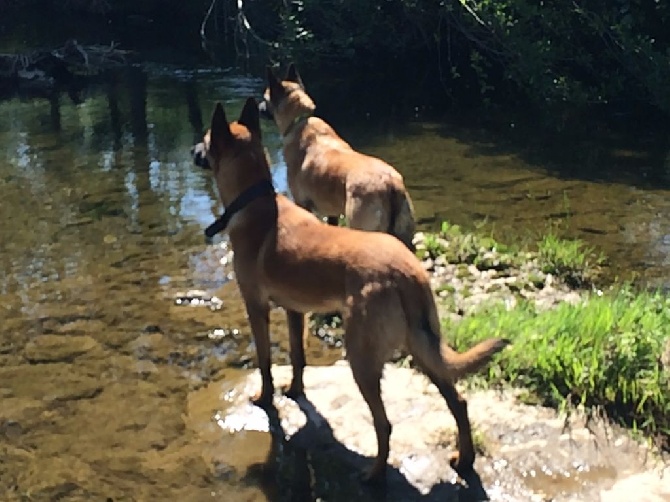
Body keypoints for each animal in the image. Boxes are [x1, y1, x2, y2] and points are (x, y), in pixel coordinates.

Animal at [198, 97, 510, 482]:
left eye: (205, 140)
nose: (194, 151)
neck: (253, 202)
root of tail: (406, 273)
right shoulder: (294, 309)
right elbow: (298, 356)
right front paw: (296, 391)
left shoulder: (256, 306)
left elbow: (266, 361)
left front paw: (265, 397)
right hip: (422, 347)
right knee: (459, 402)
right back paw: (463, 460)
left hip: (362, 358)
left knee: (384, 423)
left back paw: (374, 475)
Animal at [258, 63, 420, 251]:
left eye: (265, 98)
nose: (259, 106)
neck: (299, 121)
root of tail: (390, 184)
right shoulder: (332, 213)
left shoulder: (301, 203)